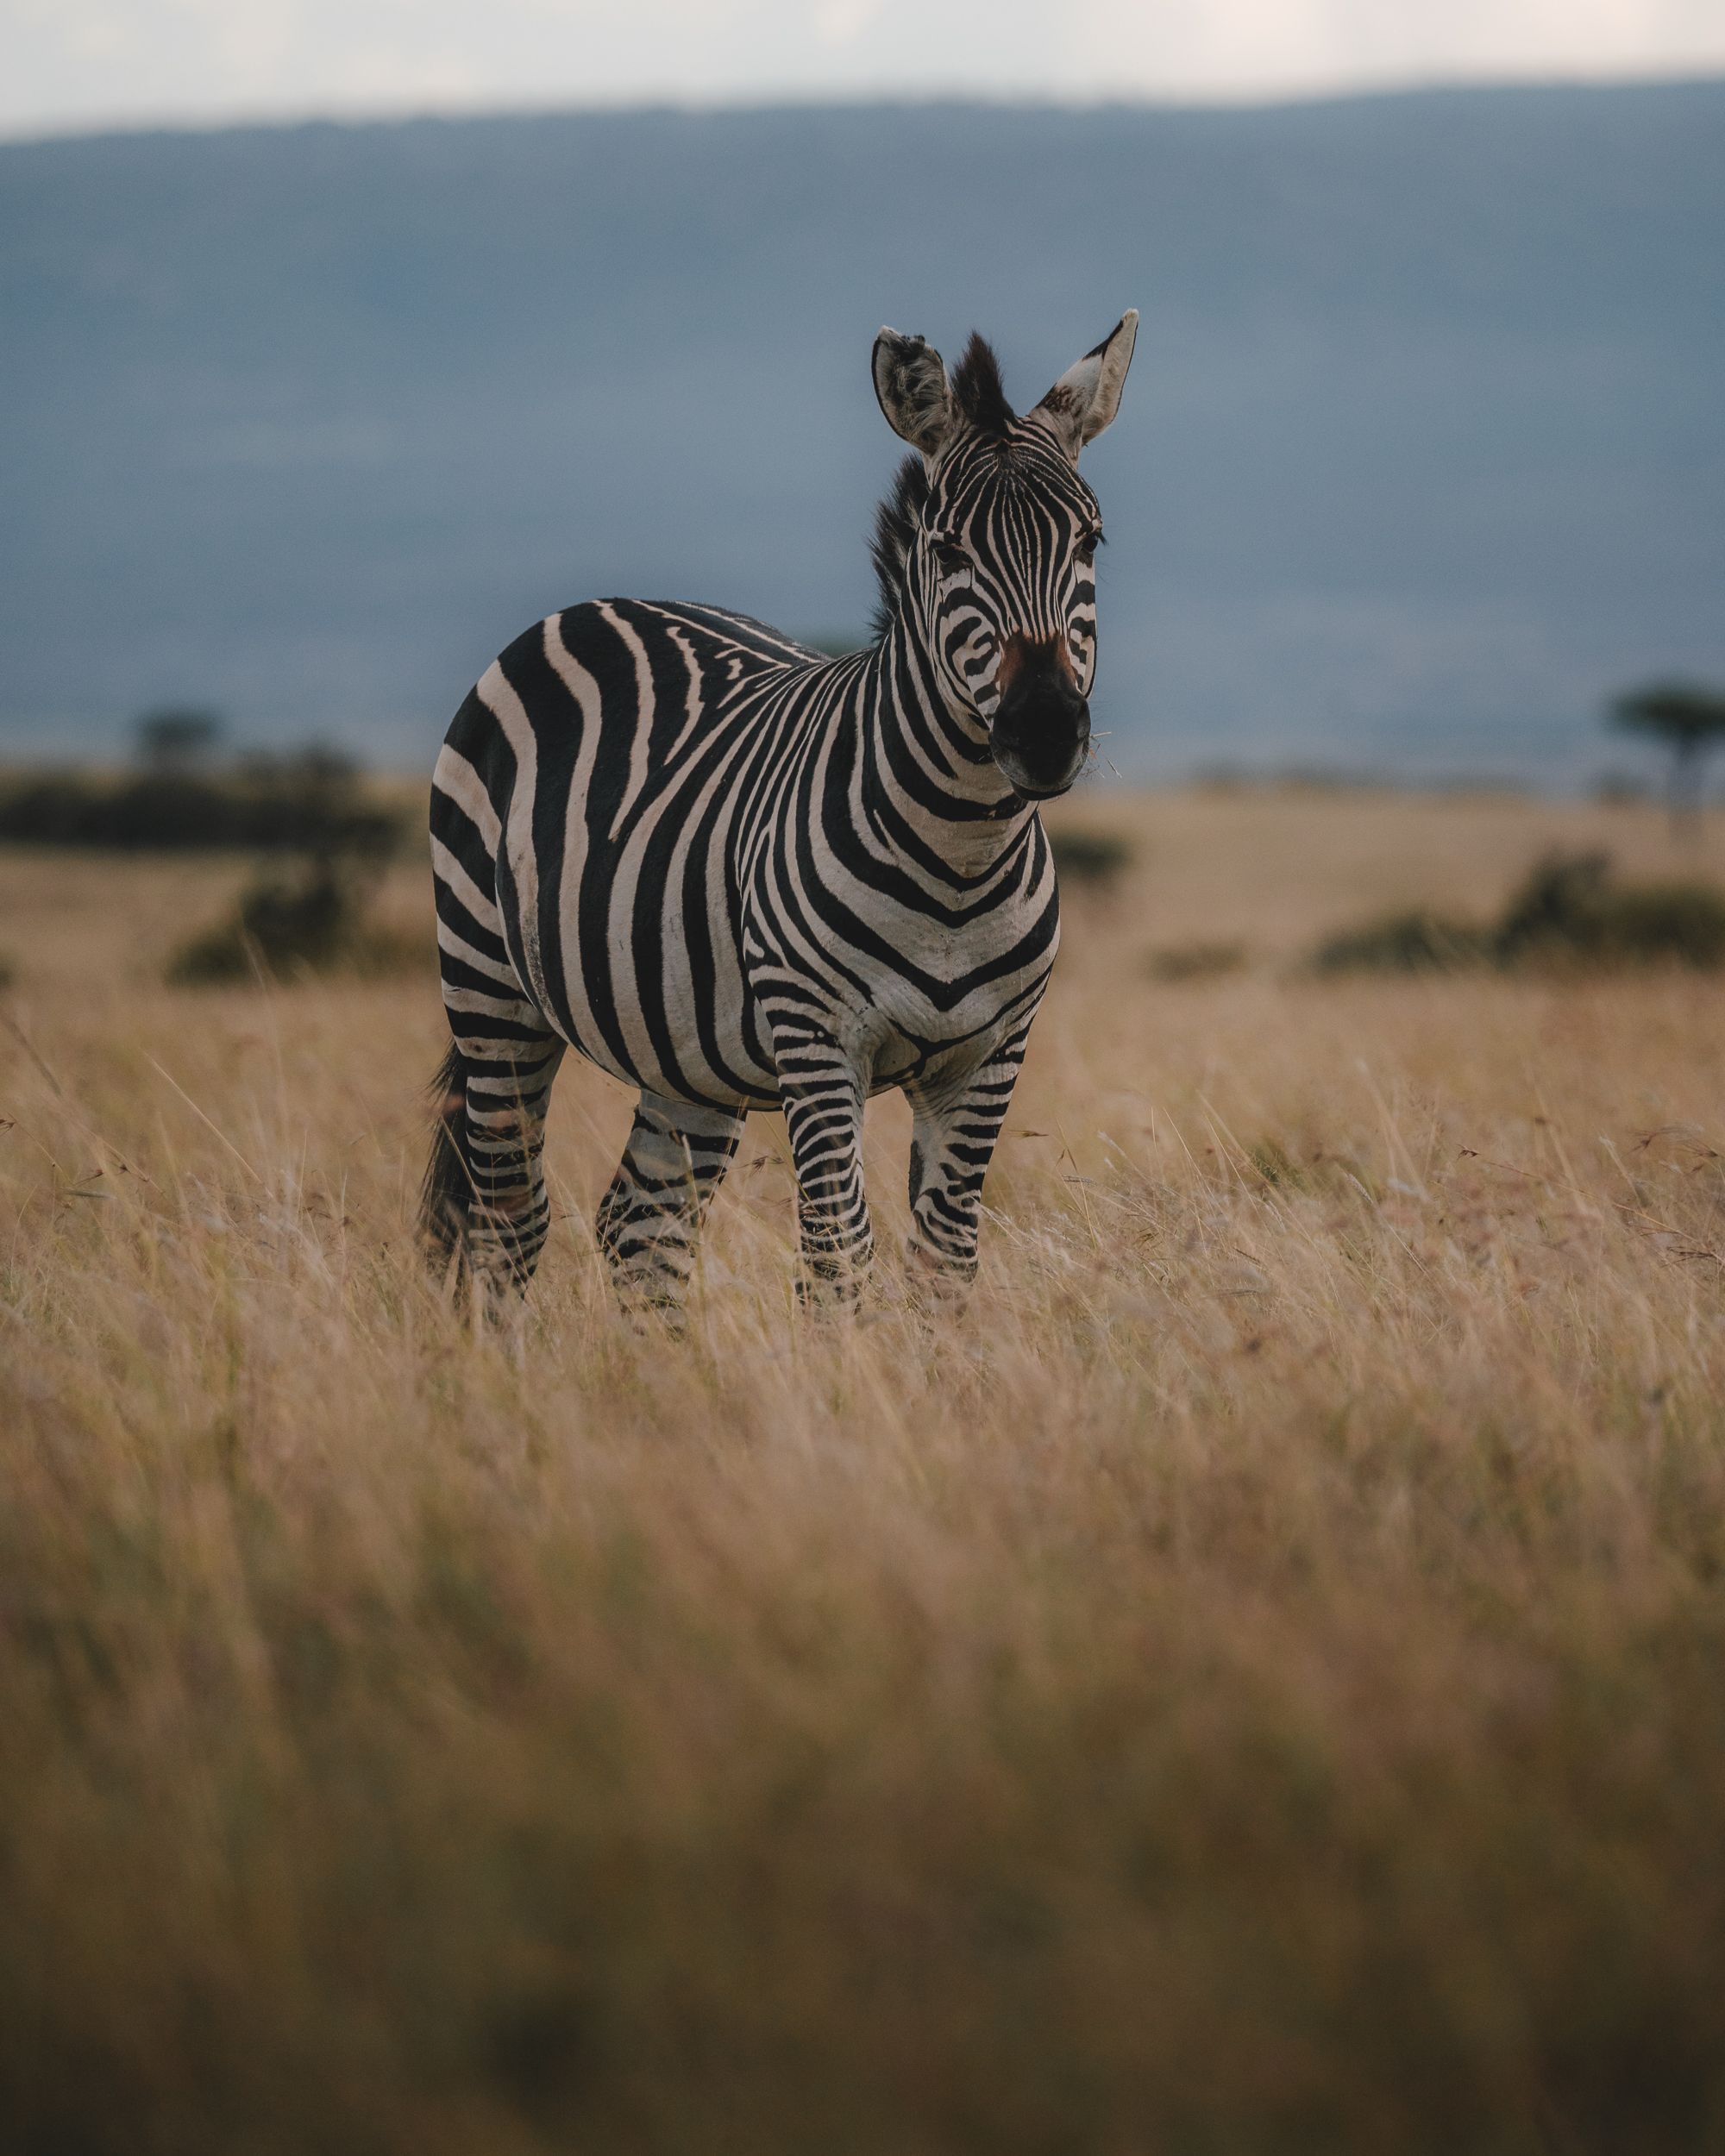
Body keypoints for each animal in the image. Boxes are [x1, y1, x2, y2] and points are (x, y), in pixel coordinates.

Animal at [422, 310, 1137, 1309]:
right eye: (948, 550)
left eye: (1090, 543)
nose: (1041, 733)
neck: (961, 849)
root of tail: (590, 605)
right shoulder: (818, 1042)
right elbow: (838, 1258)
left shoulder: (990, 1055)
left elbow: (944, 1262)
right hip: (490, 991)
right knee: (506, 1223)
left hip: (685, 1052)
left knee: (642, 1228)